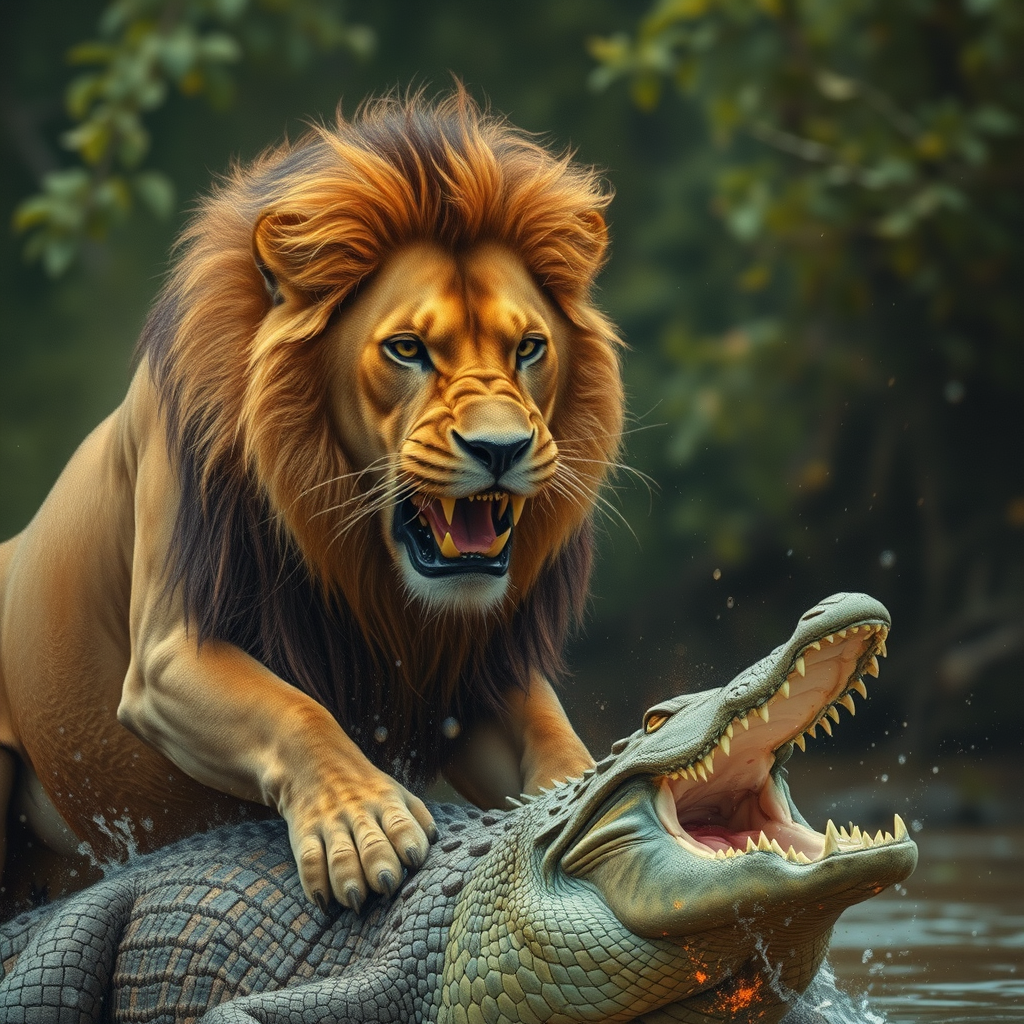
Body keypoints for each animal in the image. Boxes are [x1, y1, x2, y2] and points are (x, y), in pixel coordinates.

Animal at [0, 89, 623, 915]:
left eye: (528, 348)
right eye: (406, 349)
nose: (501, 449)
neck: (367, 572)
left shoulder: (468, 676)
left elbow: (552, 733)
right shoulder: (168, 652)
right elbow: (292, 708)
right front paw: (362, 827)